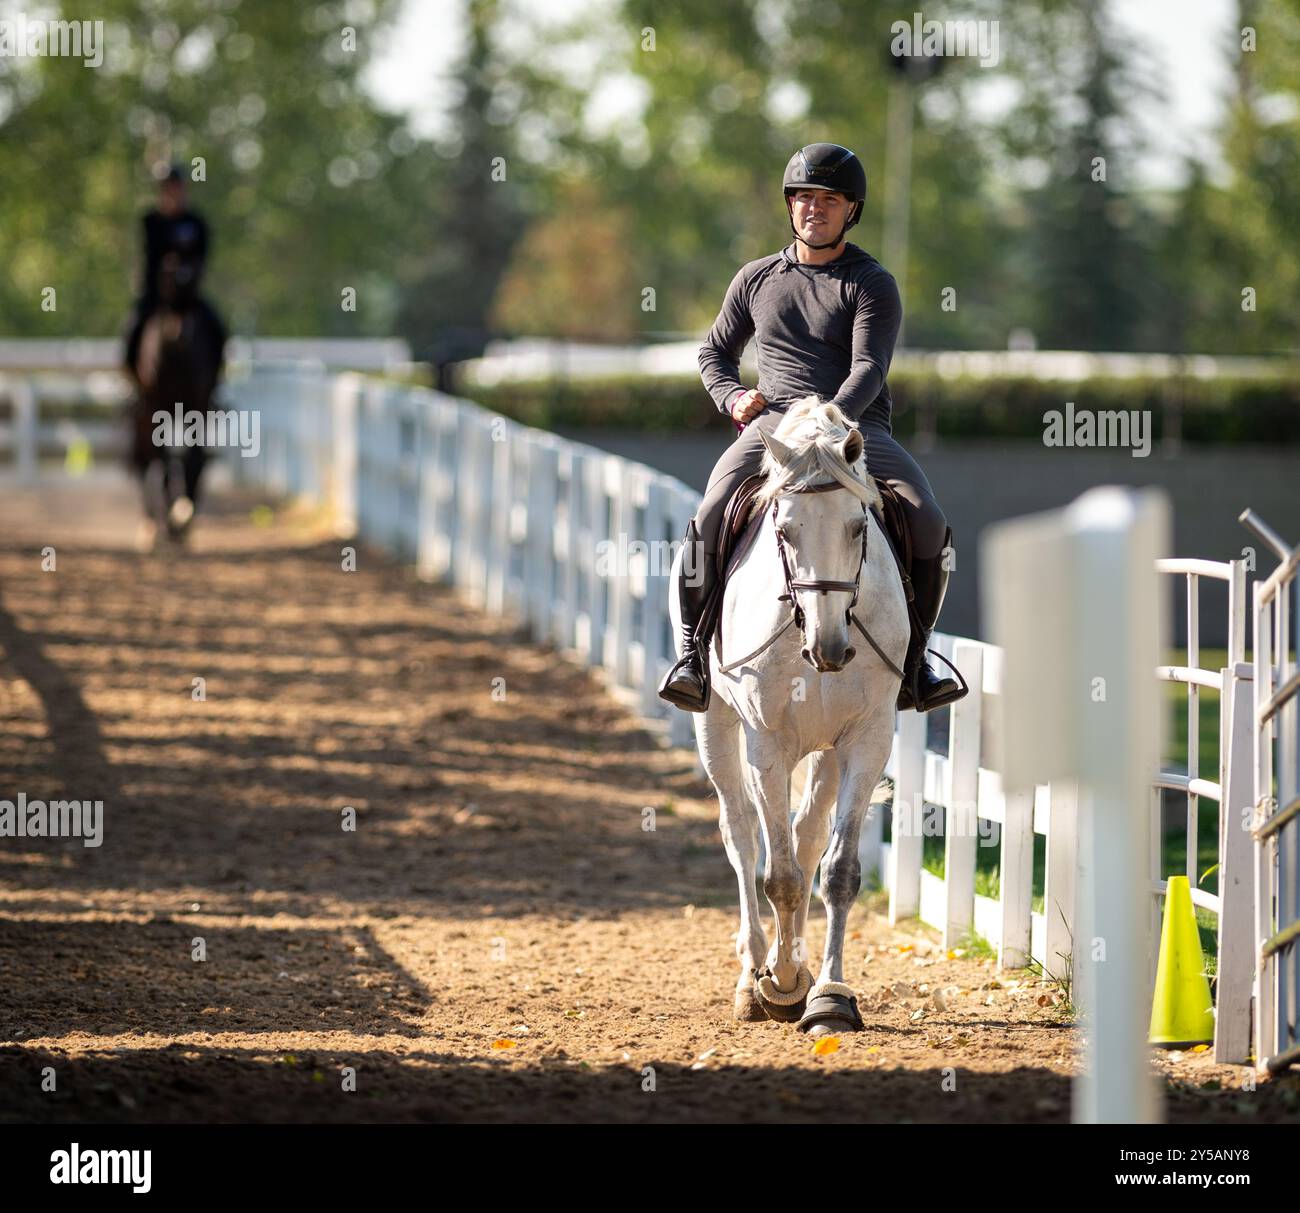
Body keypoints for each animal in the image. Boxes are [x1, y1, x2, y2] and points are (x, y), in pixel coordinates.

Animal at [126, 253, 226, 546]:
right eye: (168, 278)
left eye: (192, 280)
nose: (178, 335)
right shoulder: (156, 411)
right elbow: (166, 464)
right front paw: (171, 520)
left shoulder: (196, 407)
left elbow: (190, 460)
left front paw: (180, 517)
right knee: (151, 462)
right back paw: (156, 524)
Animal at [676, 395, 909, 1029]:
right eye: (783, 529)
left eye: (859, 526)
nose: (830, 649)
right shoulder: (766, 742)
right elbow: (776, 875)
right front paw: (777, 986)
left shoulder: (867, 739)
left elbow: (837, 872)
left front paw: (829, 994)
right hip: (717, 727)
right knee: (742, 836)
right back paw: (751, 976)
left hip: (827, 752)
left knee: (806, 841)